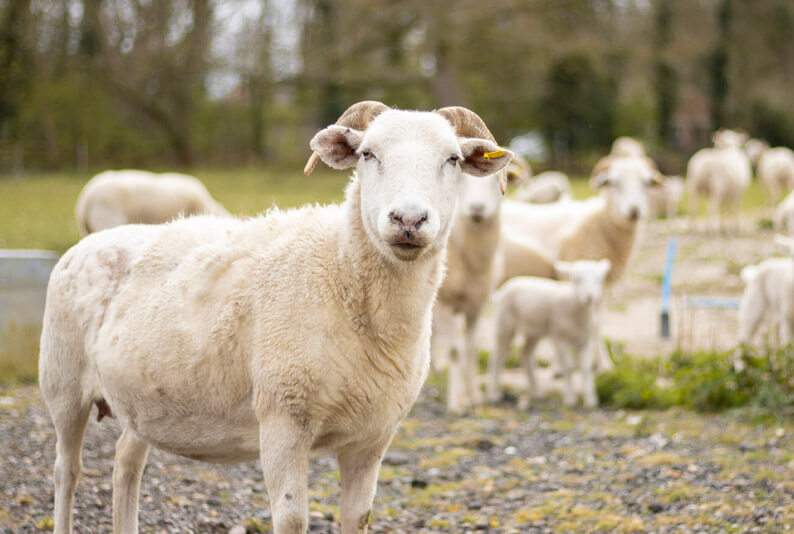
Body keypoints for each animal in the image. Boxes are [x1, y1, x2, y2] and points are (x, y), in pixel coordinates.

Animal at [486, 260, 608, 410]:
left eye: (598, 279)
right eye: (576, 279)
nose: (589, 297)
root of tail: (501, 290)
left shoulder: (585, 341)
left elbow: (586, 368)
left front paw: (590, 400)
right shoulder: (560, 338)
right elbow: (568, 367)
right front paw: (570, 399)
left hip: (533, 333)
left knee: (525, 355)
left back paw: (535, 392)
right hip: (504, 326)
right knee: (497, 358)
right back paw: (493, 394)